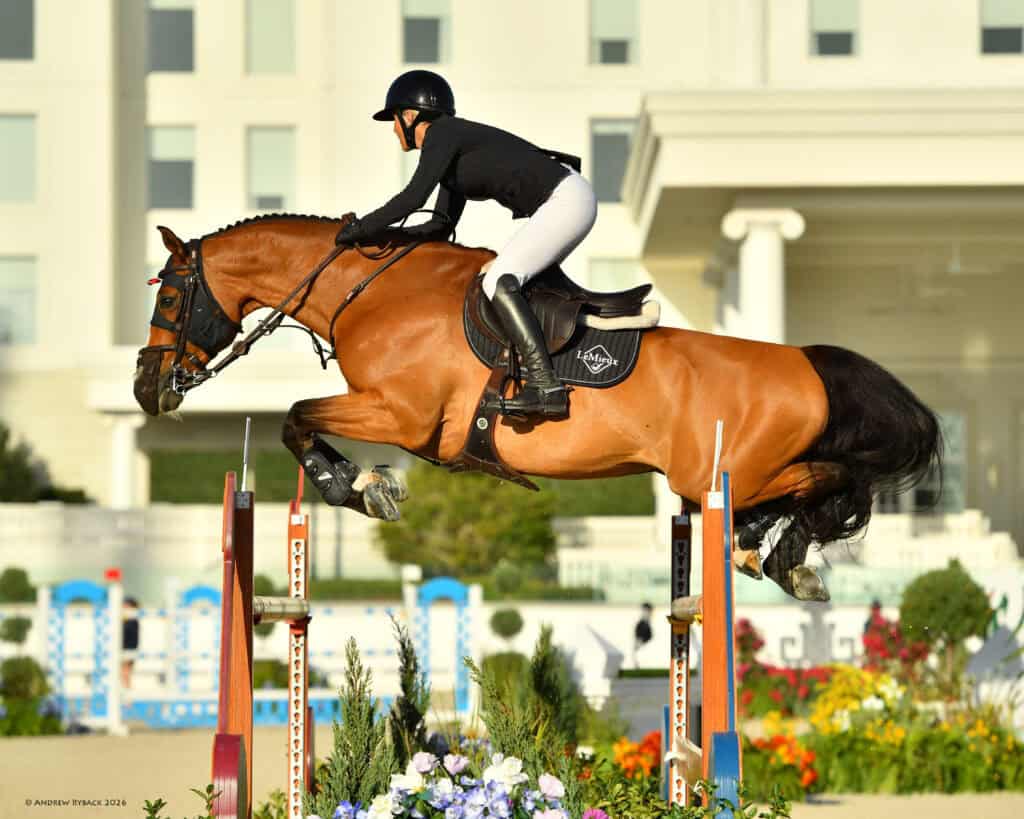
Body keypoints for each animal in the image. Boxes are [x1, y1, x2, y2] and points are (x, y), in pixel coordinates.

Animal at [134, 214, 943, 601]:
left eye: (170, 297)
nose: (147, 387)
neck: (373, 291)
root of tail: (806, 360)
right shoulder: (396, 419)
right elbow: (299, 418)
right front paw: (367, 486)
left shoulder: (400, 415)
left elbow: (295, 416)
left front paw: (361, 488)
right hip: (713, 477)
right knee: (797, 493)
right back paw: (763, 548)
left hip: (722, 469)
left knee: (834, 482)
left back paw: (781, 553)